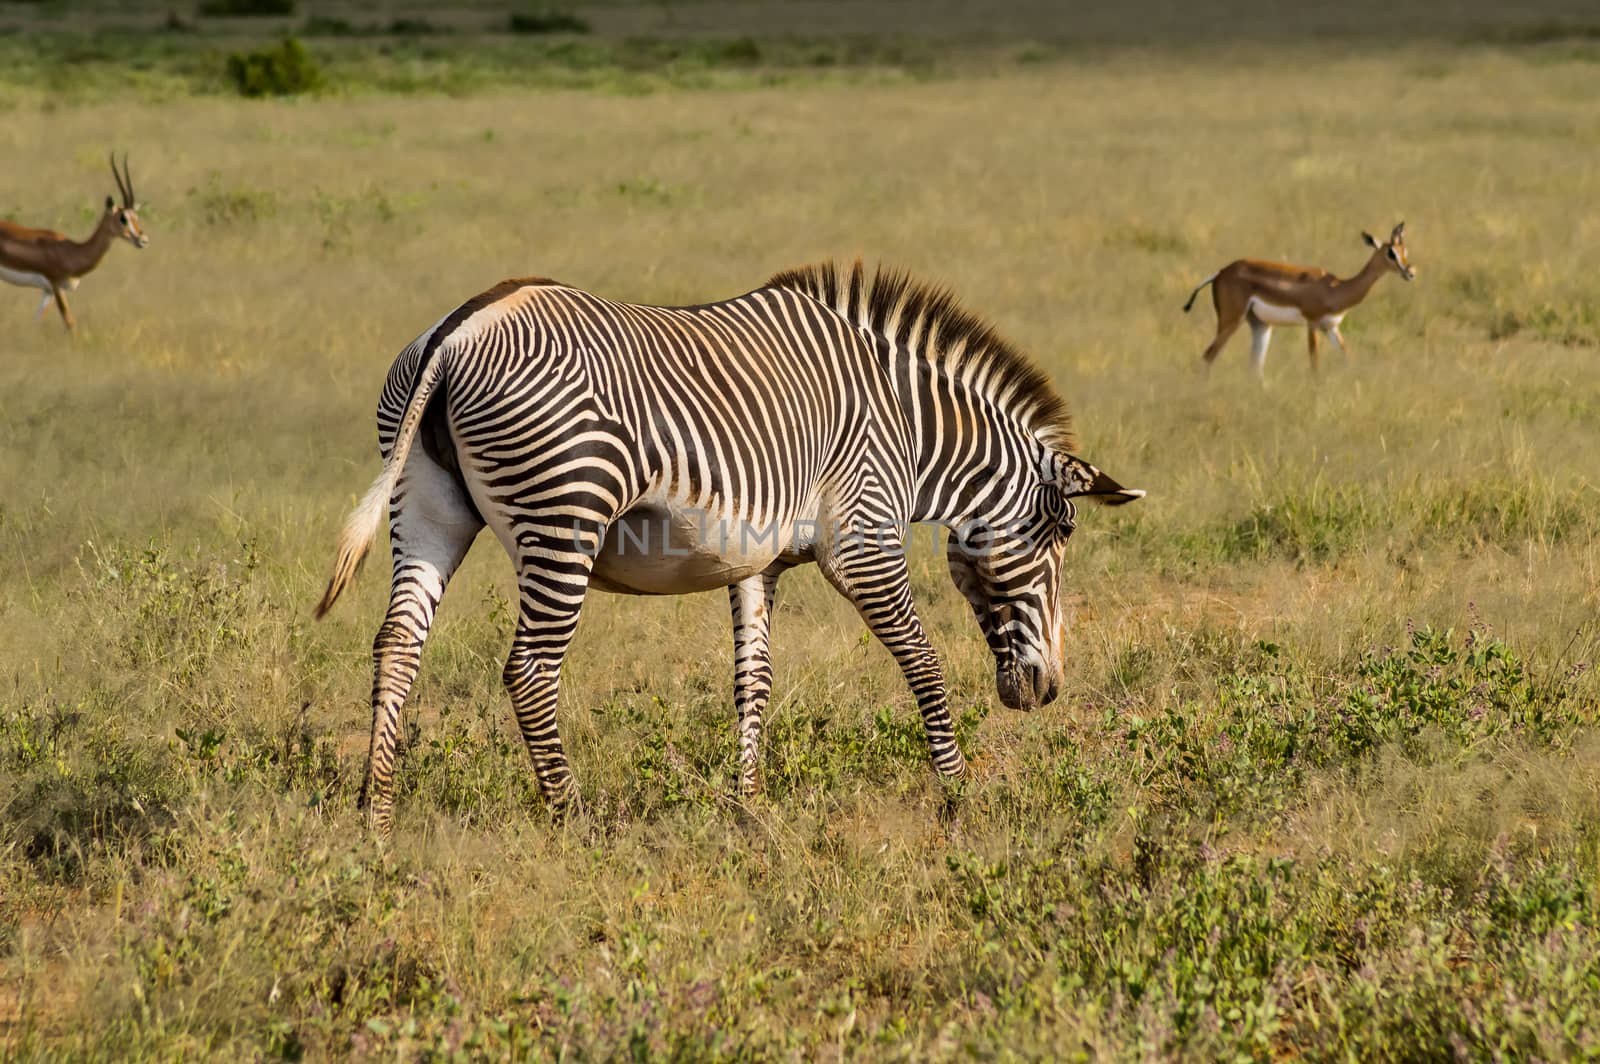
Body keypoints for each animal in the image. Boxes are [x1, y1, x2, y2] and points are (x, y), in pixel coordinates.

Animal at [315, 259, 1139, 832]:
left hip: (427, 507)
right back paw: (572, 820)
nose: (1044, 691)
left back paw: (375, 816)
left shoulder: (757, 562)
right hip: (565, 516)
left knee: (397, 644)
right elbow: (923, 661)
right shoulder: (863, 541)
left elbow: (754, 681)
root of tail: (460, 328)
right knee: (529, 670)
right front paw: (958, 796)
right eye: (1063, 535)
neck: (907, 428)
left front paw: (748, 807)